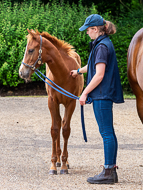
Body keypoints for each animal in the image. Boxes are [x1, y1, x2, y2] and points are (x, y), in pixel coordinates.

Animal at [19, 29, 84, 174]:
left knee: (62, 123)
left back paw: (64, 162)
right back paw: (58, 160)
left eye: (30, 50)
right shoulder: (52, 102)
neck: (64, 73)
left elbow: (66, 130)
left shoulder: (71, 103)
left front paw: (65, 166)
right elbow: (54, 130)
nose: (21, 72)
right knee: (58, 123)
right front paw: (53, 165)